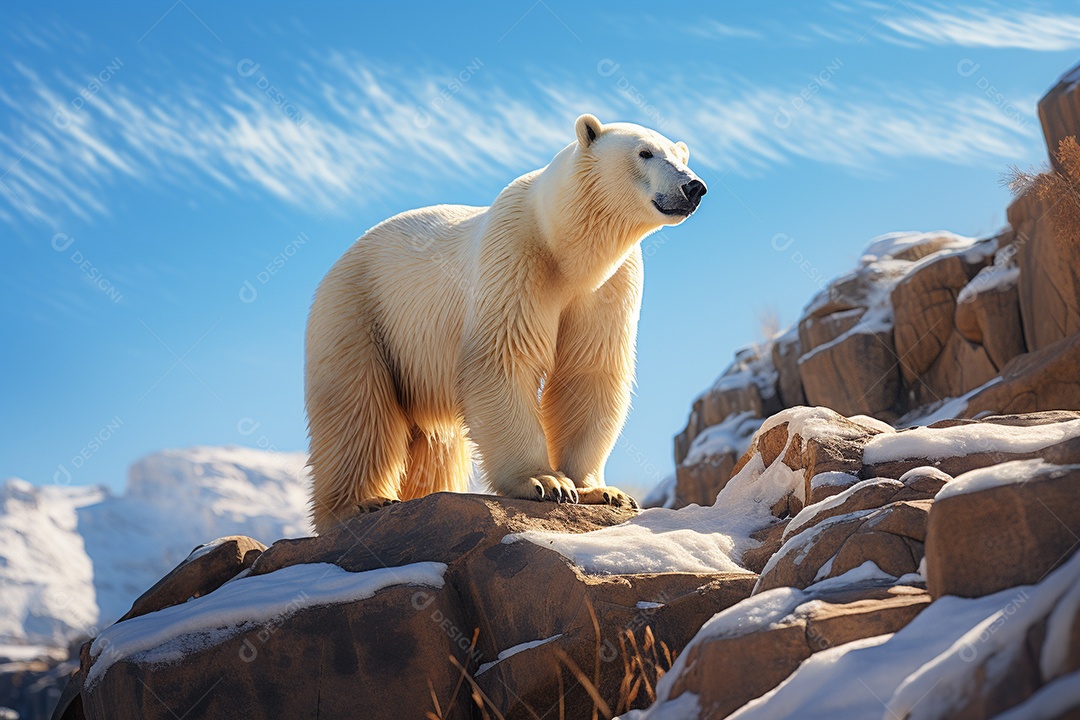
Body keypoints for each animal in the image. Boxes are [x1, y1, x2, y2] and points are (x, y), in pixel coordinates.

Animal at [305, 114, 706, 534]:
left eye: (681, 155)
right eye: (645, 153)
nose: (693, 186)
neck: (565, 247)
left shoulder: (611, 286)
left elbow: (588, 373)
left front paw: (601, 491)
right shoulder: (516, 255)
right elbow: (504, 360)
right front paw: (544, 481)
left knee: (435, 445)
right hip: (358, 310)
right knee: (355, 407)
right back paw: (360, 503)